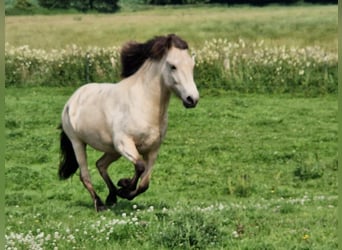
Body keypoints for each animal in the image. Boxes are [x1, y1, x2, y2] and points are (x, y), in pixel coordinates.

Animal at [57, 34, 199, 212]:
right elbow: (139, 166)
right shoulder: (124, 143)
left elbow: (145, 183)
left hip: (112, 150)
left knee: (100, 165)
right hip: (78, 143)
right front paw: (124, 187)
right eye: (173, 66)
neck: (144, 103)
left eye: (192, 65)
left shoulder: (153, 150)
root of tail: (72, 100)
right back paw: (100, 203)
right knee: (85, 175)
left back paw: (111, 197)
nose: (192, 99)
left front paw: (124, 190)